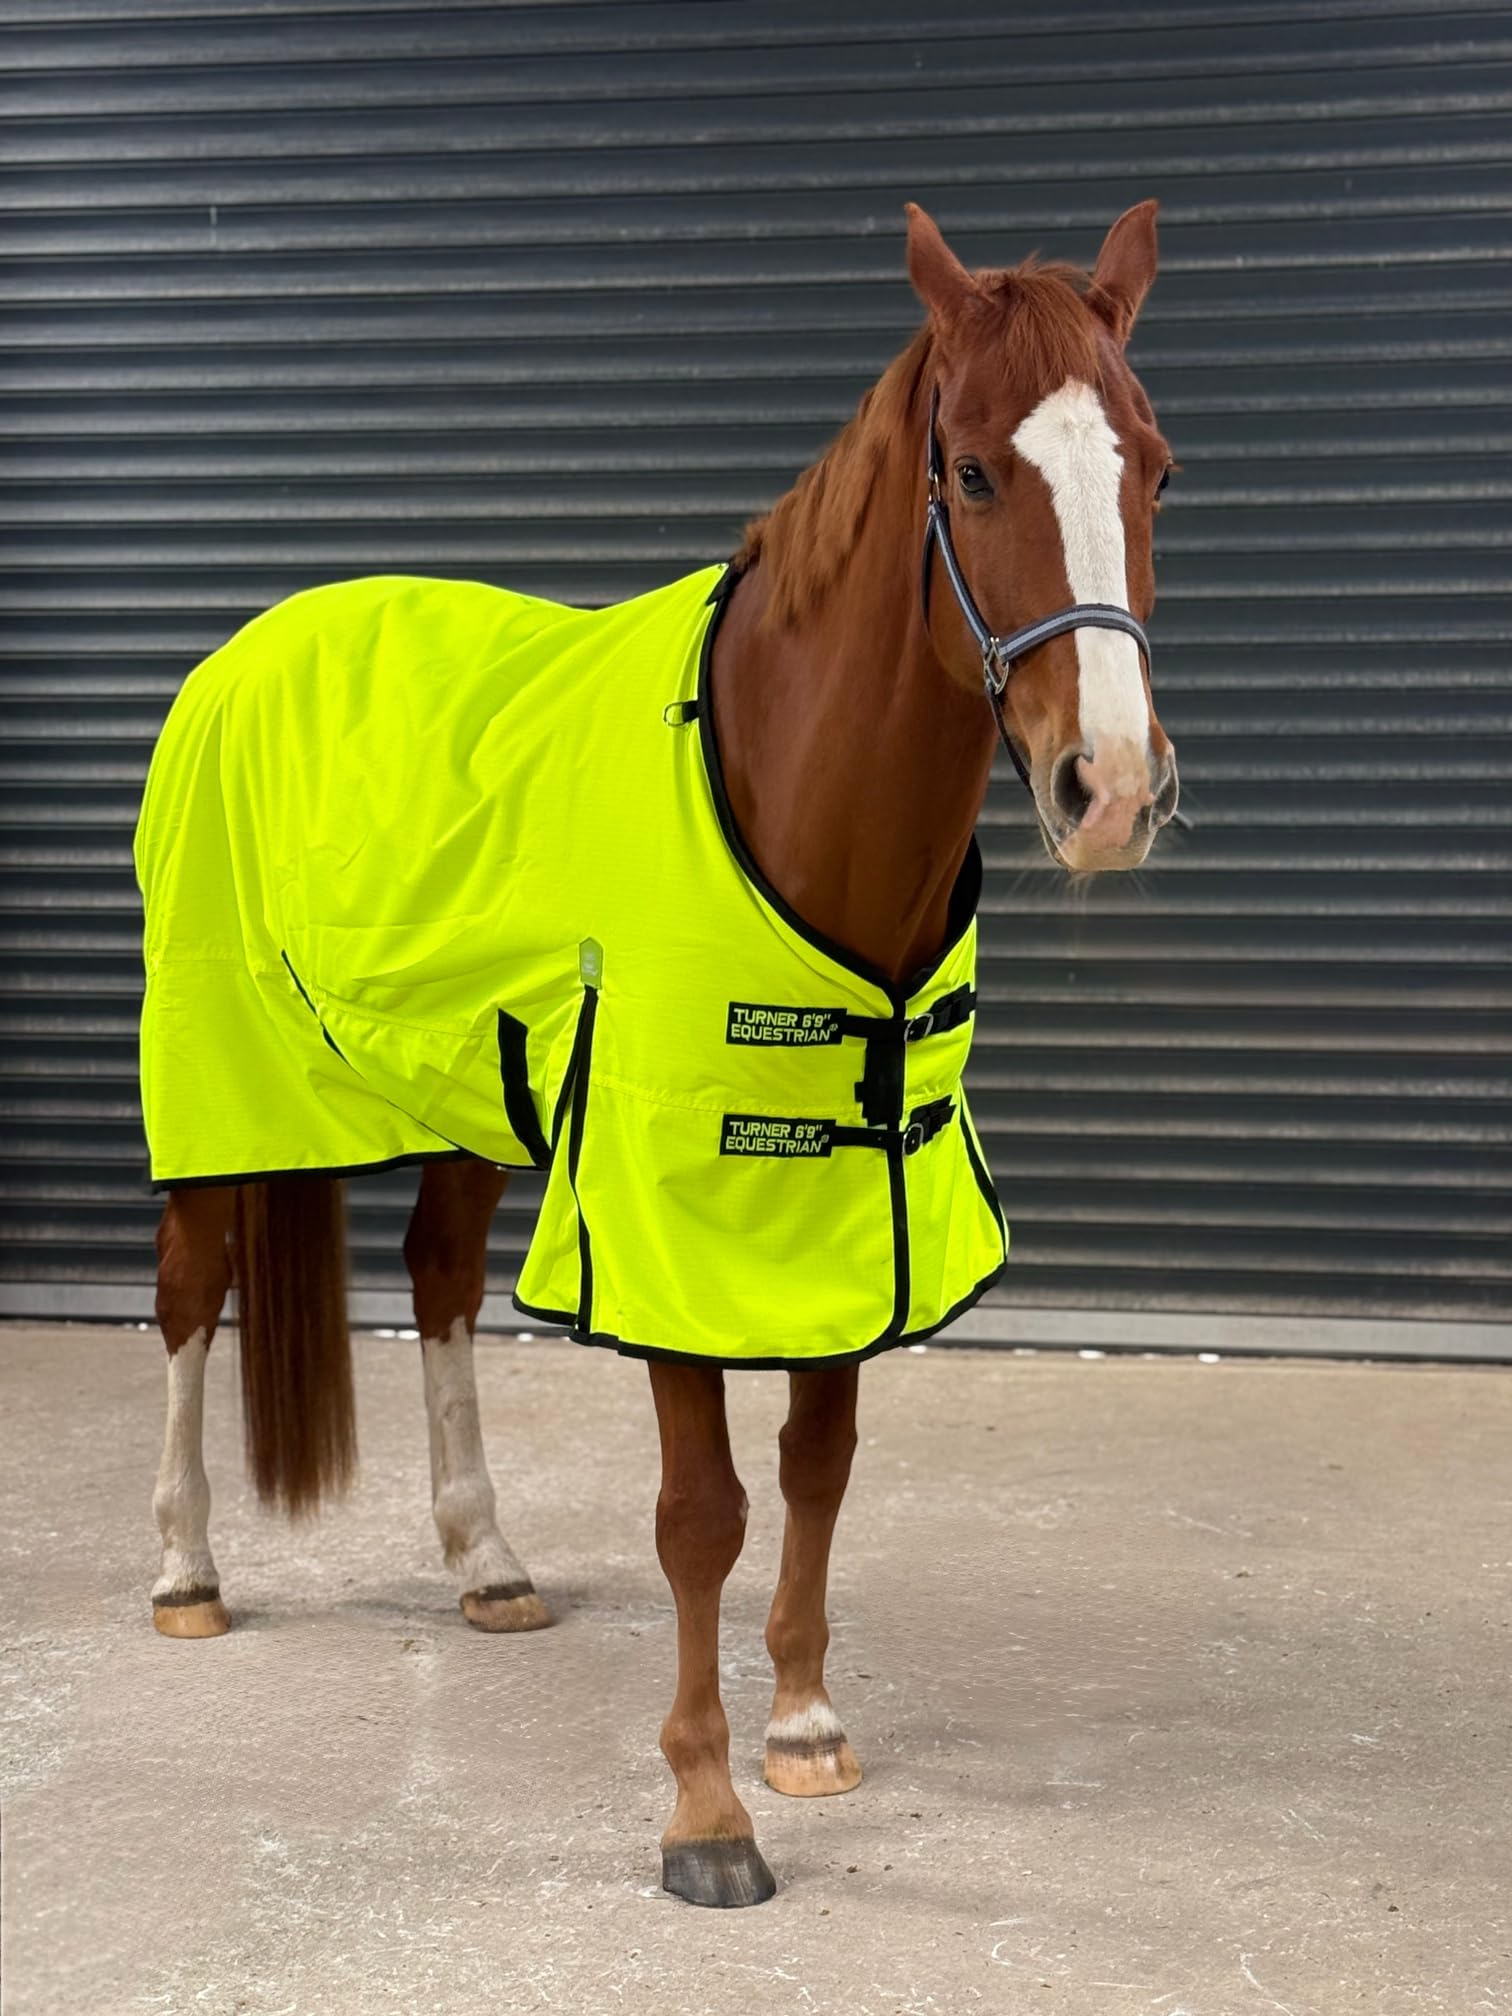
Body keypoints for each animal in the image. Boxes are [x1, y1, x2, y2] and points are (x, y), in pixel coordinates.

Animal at [140, 199, 1178, 1909]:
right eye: (973, 473)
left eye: (1155, 468)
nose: (1111, 790)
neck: (786, 784)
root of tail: (253, 644)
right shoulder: (655, 1203)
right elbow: (704, 1511)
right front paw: (706, 1810)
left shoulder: (846, 1200)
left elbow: (818, 1463)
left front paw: (806, 1722)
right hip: (219, 1074)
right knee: (190, 1291)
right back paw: (183, 1568)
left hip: (476, 1091)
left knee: (436, 1280)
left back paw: (488, 1564)